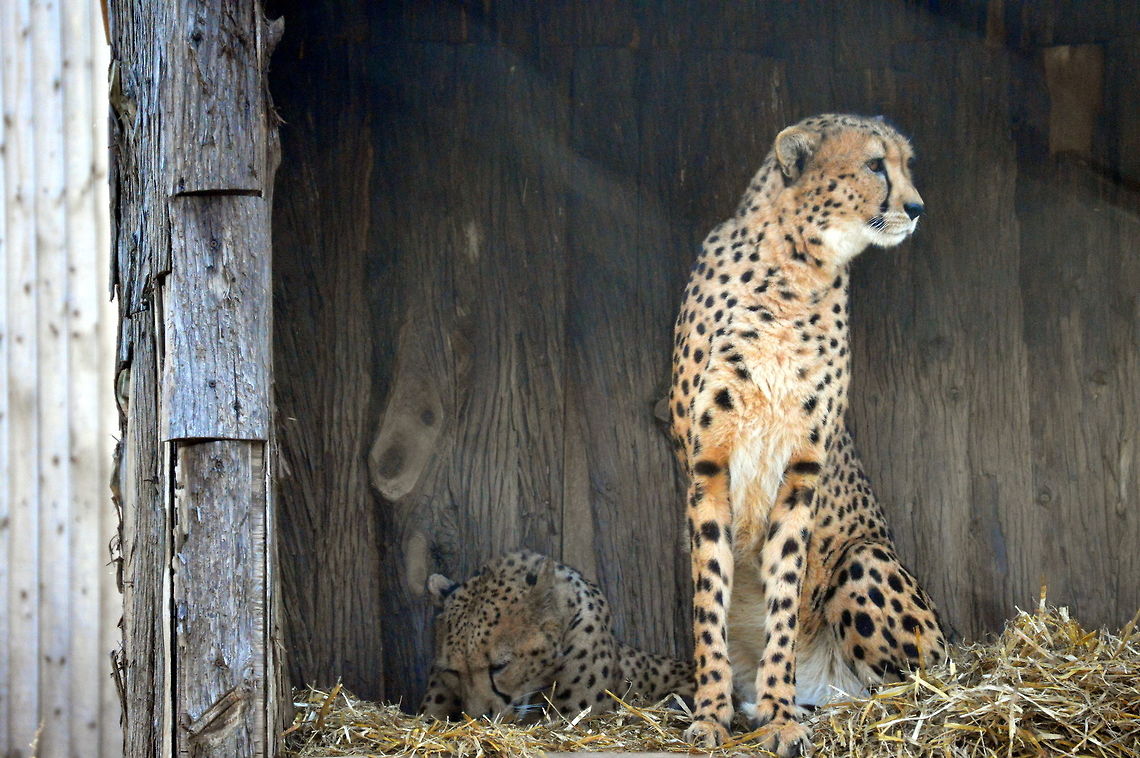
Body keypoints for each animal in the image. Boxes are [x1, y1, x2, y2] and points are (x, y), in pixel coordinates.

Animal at [667, 113, 950, 756]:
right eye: (874, 164)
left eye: (906, 164)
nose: (917, 207)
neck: (795, 269)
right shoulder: (708, 464)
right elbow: (710, 600)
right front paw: (713, 714)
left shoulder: (801, 468)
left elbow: (785, 593)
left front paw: (779, 713)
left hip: (865, 559)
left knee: (922, 683)